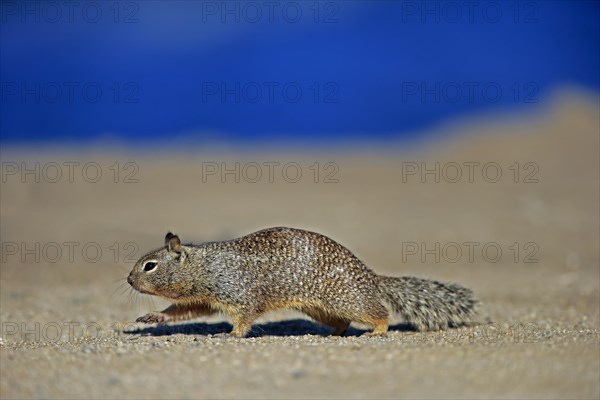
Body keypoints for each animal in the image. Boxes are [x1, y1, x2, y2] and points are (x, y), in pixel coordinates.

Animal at [126, 227, 478, 336]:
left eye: (149, 266)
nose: (128, 280)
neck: (203, 267)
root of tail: (370, 275)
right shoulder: (204, 298)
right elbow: (183, 311)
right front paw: (153, 316)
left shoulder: (237, 292)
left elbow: (245, 316)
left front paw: (232, 334)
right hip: (321, 309)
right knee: (342, 322)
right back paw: (333, 335)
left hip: (346, 298)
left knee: (378, 313)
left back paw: (377, 331)